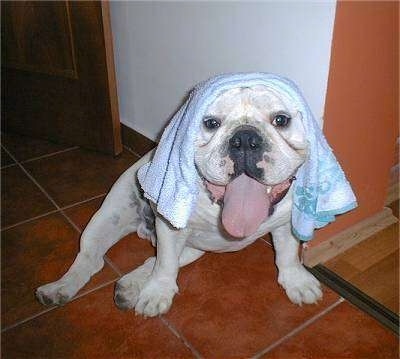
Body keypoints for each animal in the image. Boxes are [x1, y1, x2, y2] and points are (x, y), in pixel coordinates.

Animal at [36, 81, 324, 318]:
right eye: (211, 123)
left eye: (281, 119)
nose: (244, 138)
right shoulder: (171, 228)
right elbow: (165, 266)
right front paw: (157, 295)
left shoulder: (286, 223)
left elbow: (287, 254)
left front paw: (297, 281)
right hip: (108, 217)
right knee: (91, 258)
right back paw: (59, 288)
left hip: (194, 249)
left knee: (151, 260)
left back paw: (129, 287)